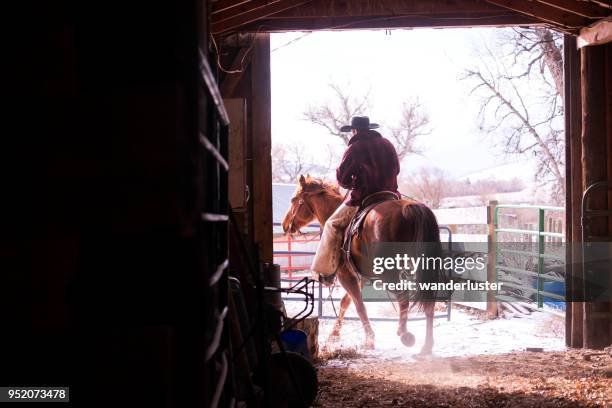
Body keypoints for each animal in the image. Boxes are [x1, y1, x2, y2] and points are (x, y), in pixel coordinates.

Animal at [282, 174, 440, 356]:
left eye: (293, 199)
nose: (285, 225)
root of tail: (409, 208)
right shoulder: (360, 277)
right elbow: (346, 302)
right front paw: (334, 335)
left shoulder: (345, 274)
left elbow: (359, 305)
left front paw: (369, 339)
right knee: (428, 300)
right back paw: (427, 346)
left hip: (390, 273)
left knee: (403, 296)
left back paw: (405, 334)